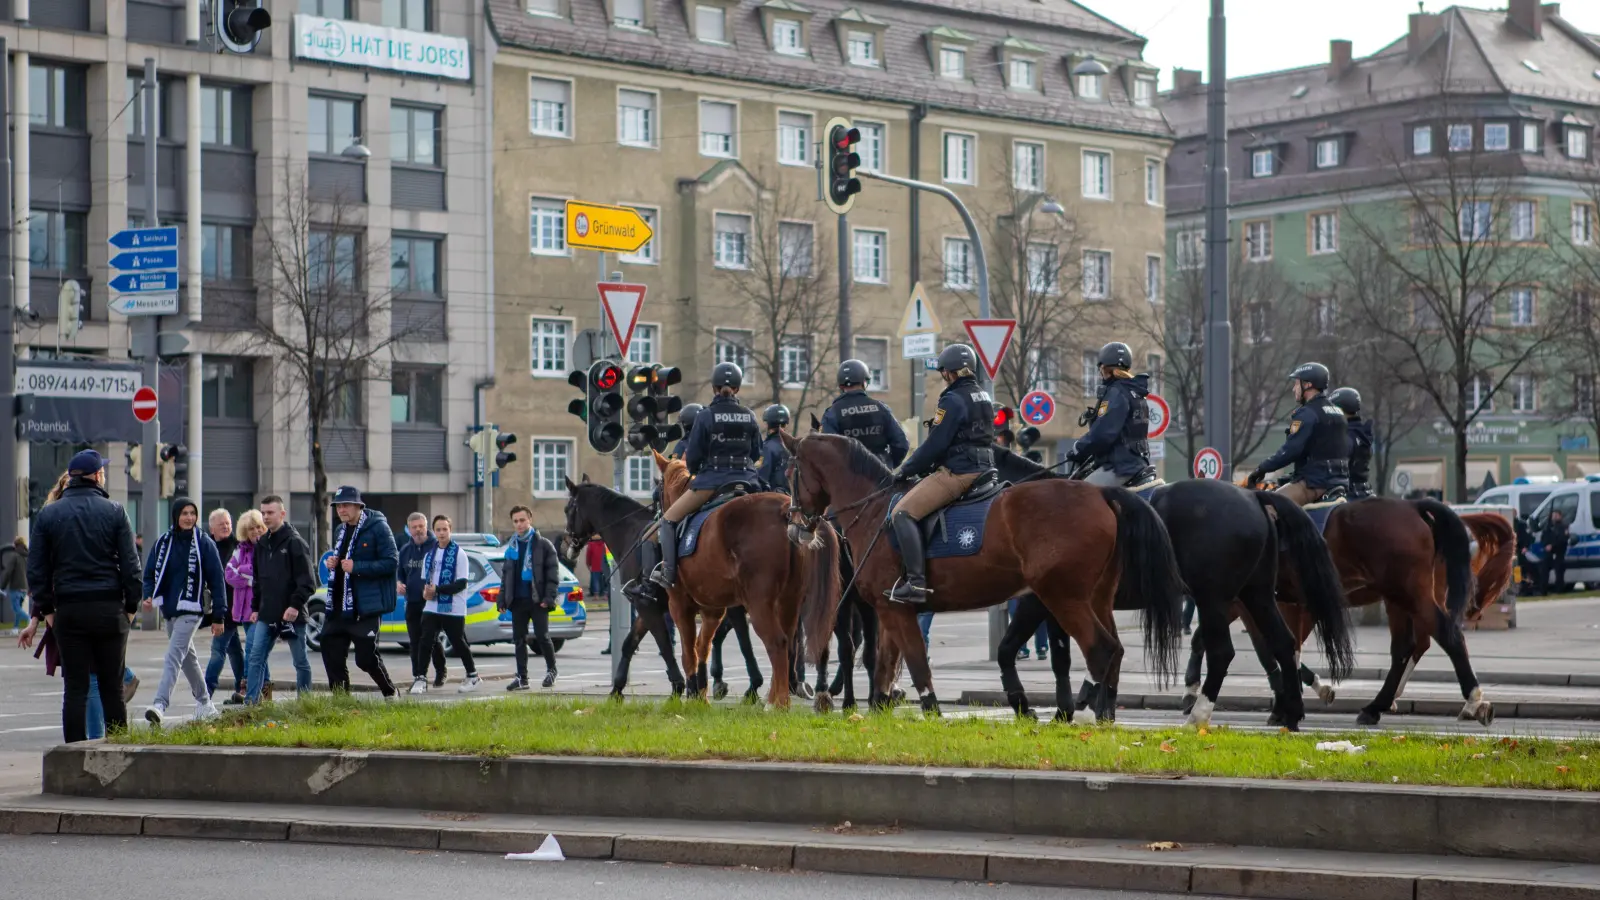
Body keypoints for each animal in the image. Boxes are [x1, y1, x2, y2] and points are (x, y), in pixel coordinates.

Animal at [652, 451, 844, 704]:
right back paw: (777, 696)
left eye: (657, 489)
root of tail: (784, 510)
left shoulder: (680, 604)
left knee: (777, 642)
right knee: (789, 645)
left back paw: (777, 703)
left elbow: (689, 652)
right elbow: (703, 646)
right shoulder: (713, 609)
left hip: (759, 603)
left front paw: (694, 692)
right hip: (789, 601)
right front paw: (701, 693)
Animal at [780, 425, 1184, 714]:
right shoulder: (890, 609)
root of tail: (1100, 494)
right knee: (1114, 652)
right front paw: (880, 710)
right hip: (1095, 598)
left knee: (1100, 650)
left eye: (789, 472)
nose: (795, 527)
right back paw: (1104, 715)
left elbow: (916, 663)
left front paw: (931, 712)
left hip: (1064, 598)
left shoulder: (894, 609)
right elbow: (886, 664)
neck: (876, 510)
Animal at [985, 448, 1350, 730]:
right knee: (1282, 643)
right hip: (1254, 595)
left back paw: (1201, 714)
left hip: (1217, 598)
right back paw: (1292, 713)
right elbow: (1085, 654)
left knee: (1226, 651)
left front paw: (1063, 711)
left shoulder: (1044, 600)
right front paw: (1097, 710)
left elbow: (1040, 653)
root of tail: (1253, 495)